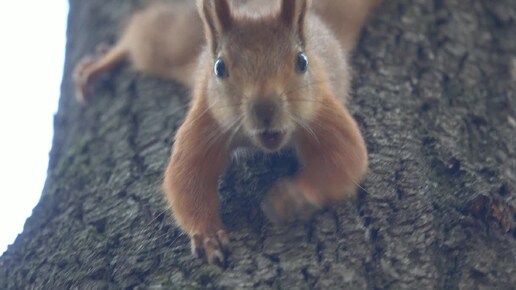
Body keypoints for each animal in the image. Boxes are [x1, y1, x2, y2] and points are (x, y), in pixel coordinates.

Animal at [75, 0, 382, 266]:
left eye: (302, 62)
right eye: (220, 67)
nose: (265, 110)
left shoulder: (321, 111)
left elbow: (344, 158)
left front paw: (292, 196)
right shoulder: (207, 118)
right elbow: (187, 176)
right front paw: (208, 235)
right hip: (175, 40)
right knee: (143, 36)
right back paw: (99, 65)